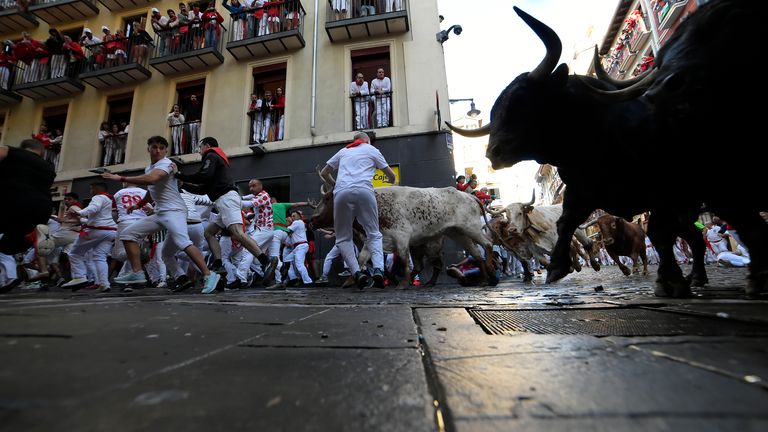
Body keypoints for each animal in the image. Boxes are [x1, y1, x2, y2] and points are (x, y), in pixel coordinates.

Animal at [448, 0, 764, 296]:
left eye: (520, 102)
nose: (492, 152)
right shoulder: (582, 192)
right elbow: (566, 225)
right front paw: (558, 267)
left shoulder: (663, 190)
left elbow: (657, 234)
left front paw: (669, 280)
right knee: (704, 236)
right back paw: (701, 276)